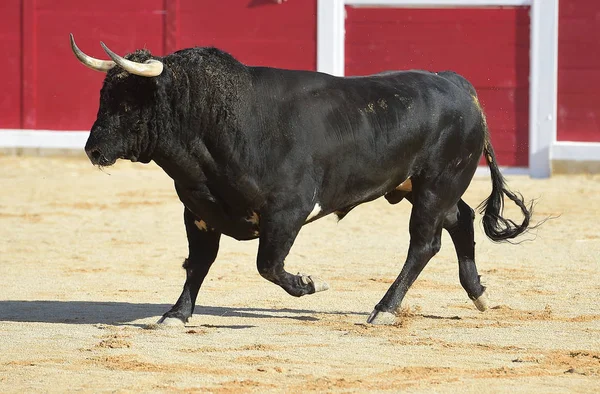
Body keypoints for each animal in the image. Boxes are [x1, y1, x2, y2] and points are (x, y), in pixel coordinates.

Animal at [70, 35, 536, 324]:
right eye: (104, 96)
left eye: (128, 102)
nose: (92, 149)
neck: (221, 121)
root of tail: (459, 85)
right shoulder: (198, 213)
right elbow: (197, 264)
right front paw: (176, 315)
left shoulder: (287, 211)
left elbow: (268, 265)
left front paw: (311, 283)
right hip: (419, 187)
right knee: (460, 221)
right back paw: (479, 294)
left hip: (437, 184)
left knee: (425, 243)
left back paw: (384, 309)